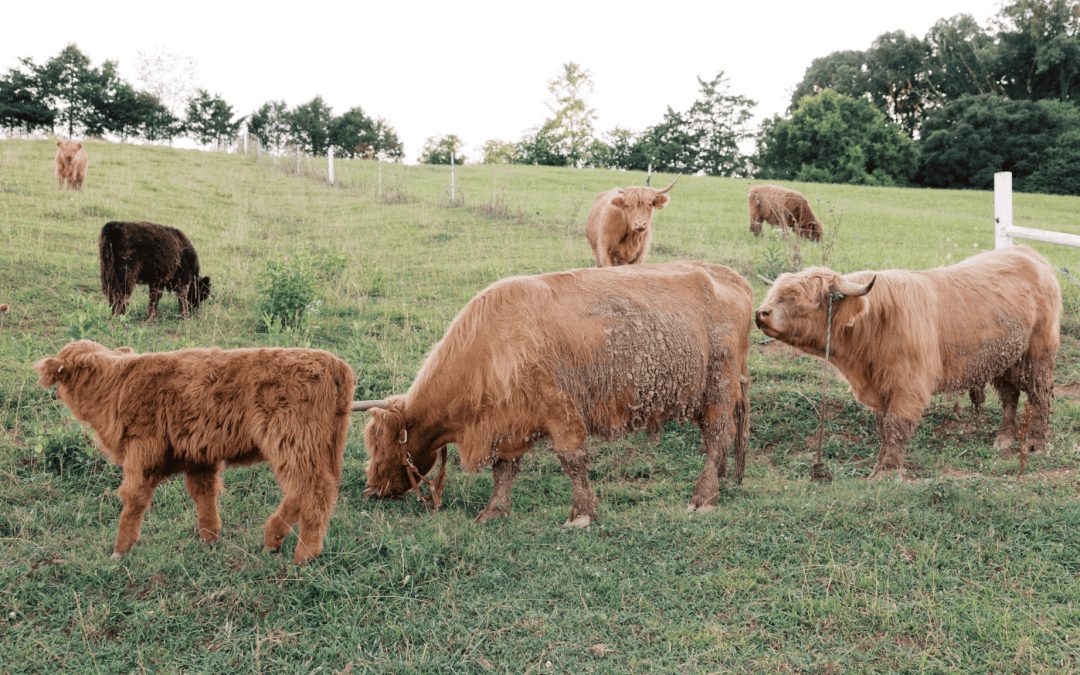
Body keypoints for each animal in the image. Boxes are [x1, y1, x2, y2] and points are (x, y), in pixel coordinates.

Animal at [34, 340, 355, 563]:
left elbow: (133, 500)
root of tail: (332, 362)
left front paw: (119, 551)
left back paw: (304, 555)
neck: (114, 386)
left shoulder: (142, 453)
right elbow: (204, 496)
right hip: (313, 448)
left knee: (313, 492)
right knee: (306, 491)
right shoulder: (199, 457)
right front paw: (210, 540)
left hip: (293, 442)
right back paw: (272, 538)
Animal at [358, 261, 752, 526]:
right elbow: (504, 470)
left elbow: (572, 461)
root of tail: (728, 276)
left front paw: (581, 515)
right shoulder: (509, 423)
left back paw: (703, 496)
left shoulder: (559, 409)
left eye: (383, 445)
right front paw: (493, 511)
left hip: (719, 386)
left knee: (718, 435)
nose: (371, 488)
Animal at [754, 245, 1061, 479]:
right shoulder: (880, 389)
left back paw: (1035, 444)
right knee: (1010, 397)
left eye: (798, 299)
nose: (761, 313)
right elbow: (883, 427)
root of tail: (1027, 252)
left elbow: (896, 427)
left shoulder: (908, 386)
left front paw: (888, 473)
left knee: (1039, 395)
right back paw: (1004, 438)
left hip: (1038, 354)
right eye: (776, 293)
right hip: (1005, 358)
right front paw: (879, 466)